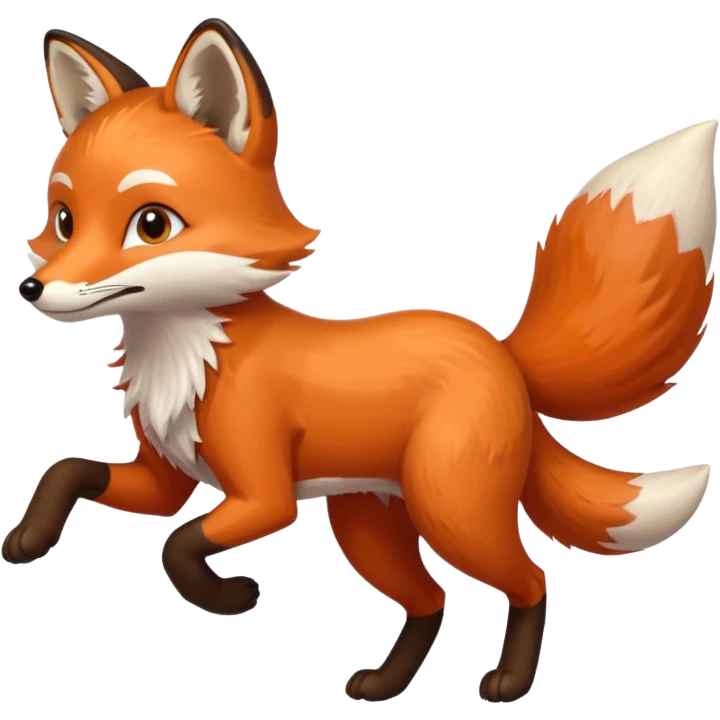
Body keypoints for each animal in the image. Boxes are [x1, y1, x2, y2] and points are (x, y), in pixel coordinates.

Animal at [5, 17, 717, 704]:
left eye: (152, 225)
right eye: (64, 221)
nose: (32, 290)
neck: (191, 356)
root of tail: (501, 352)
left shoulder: (264, 495)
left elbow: (178, 547)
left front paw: (229, 595)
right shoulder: (165, 476)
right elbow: (70, 473)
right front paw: (29, 540)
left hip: (452, 510)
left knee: (530, 579)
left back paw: (509, 683)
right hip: (369, 522)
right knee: (432, 601)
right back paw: (385, 685)